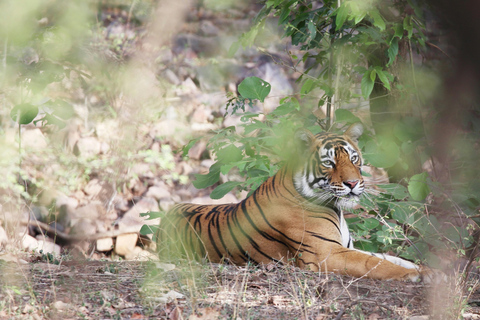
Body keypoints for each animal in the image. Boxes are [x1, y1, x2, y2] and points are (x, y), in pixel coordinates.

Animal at [158, 124, 432, 282]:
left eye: (353, 158)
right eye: (329, 162)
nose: (353, 183)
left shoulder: (344, 246)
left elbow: (388, 256)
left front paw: (426, 270)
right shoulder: (326, 254)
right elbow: (374, 262)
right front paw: (411, 275)